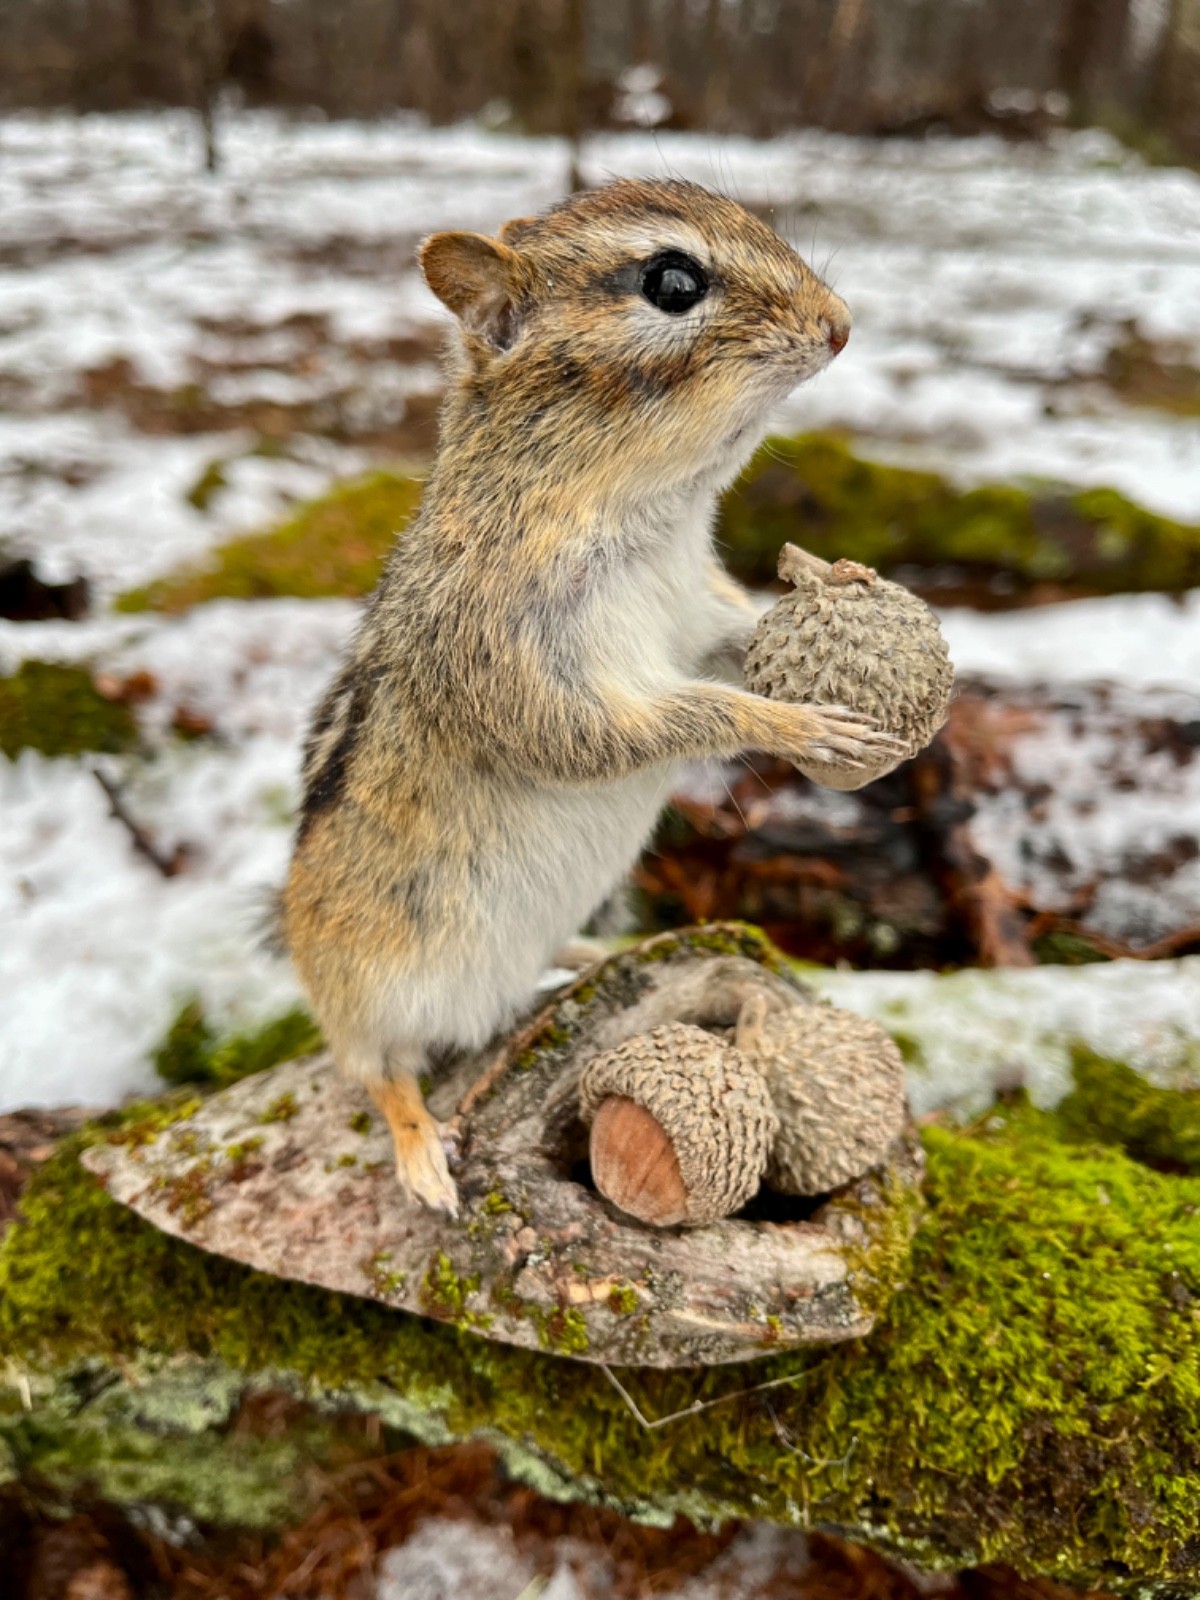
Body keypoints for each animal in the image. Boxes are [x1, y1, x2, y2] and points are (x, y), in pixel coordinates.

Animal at [282, 177, 900, 1216]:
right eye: (673, 282)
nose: (843, 325)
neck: (651, 512)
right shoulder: (521, 670)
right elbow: (658, 721)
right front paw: (798, 723)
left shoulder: (695, 612)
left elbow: (741, 638)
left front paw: (833, 574)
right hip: (367, 984)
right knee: (376, 1072)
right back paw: (420, 1151)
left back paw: (596, 952)